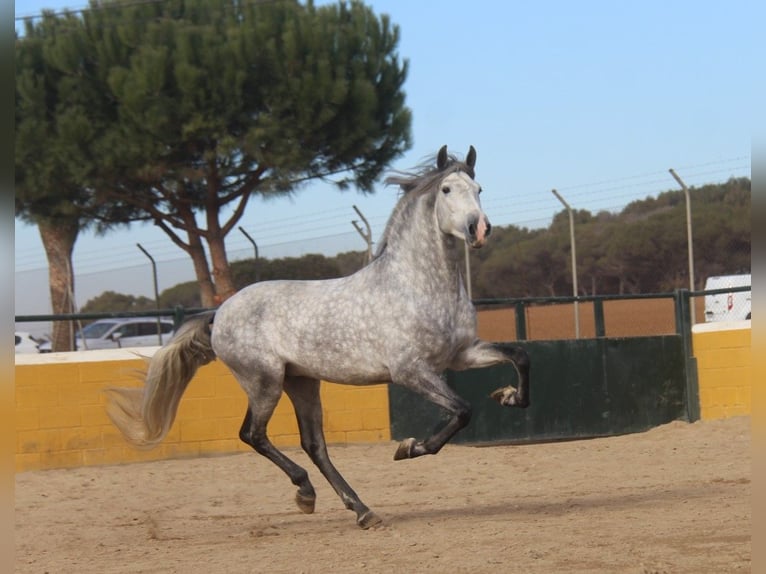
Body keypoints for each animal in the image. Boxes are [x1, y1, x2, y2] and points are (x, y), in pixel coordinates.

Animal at [106, 147, 528, 532]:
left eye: (479, 188)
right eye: (446, 189)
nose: (479, 229)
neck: (417, 285)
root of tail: (219, 314)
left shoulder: (461, 355)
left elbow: (518, 356)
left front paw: (508, 396)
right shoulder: (411, 371)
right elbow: (462, 410)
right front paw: (409, 448)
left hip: (302, 382)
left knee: (314, 444)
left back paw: (361, 510)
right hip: (264, 382)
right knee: (253, 434)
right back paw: (306, 493)